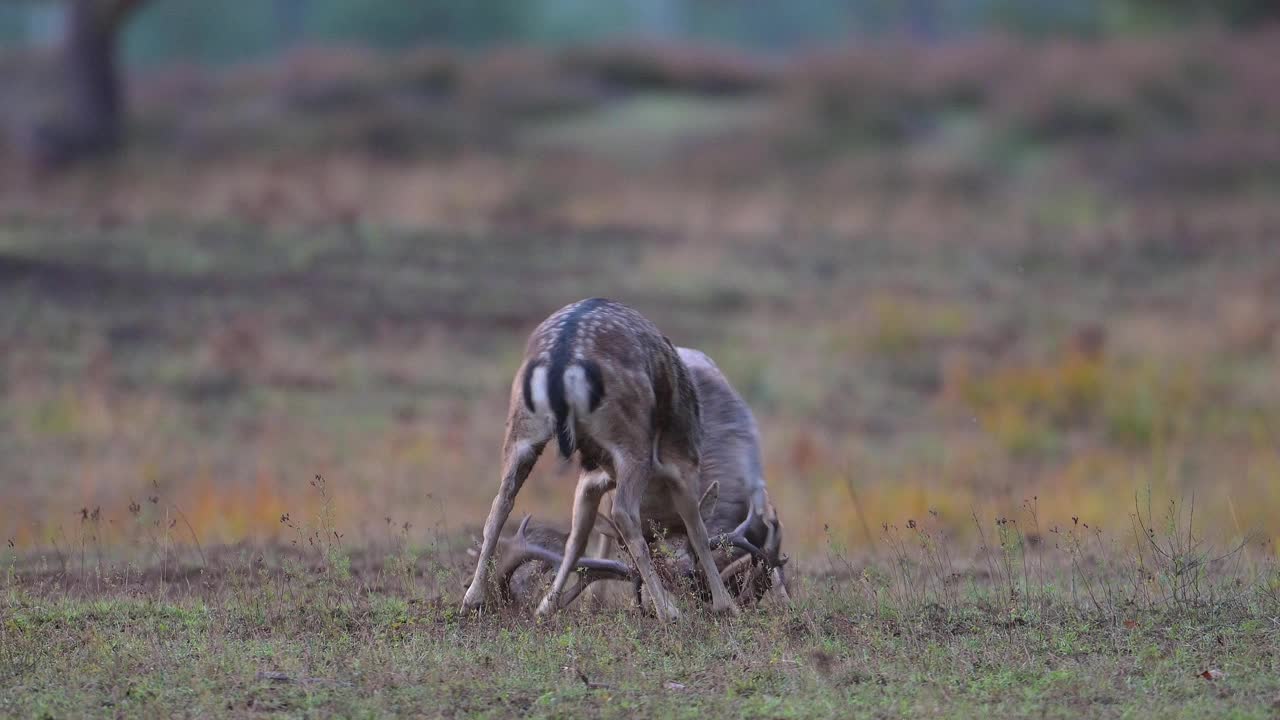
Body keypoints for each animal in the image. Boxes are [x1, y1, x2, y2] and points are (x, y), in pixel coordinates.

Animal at [458, 297, 742, 617]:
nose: (687, 585)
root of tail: (562, 360)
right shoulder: (683, 462)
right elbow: (698, 532)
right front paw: (726, 605)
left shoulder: (591, 477)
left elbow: (577, 539)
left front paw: (545, 607)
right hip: (631, 442)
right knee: (624, 513)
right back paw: (669, 613)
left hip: (521, 430)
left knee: (501, 502)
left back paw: (472, 599)